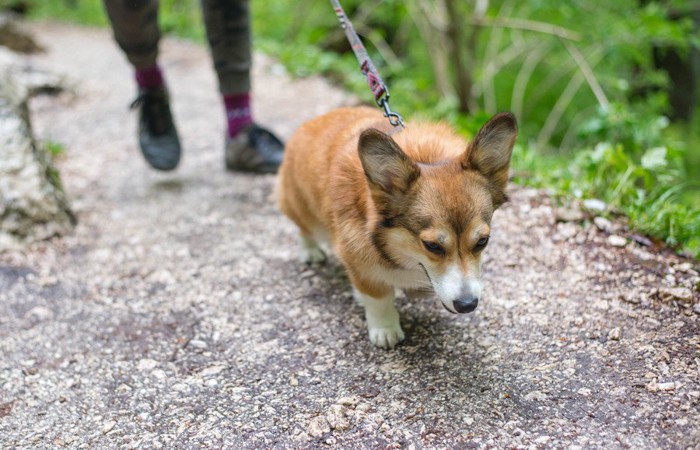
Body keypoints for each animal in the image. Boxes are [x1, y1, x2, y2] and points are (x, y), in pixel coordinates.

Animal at [276, 106, 516, 348]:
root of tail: (314, 121)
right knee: (304, 228)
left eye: (482, 241)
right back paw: (310, 251)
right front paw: (385, 329)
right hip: (305, 212)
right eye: (432, 246)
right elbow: (378, 297)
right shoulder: (358, 257)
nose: (467, 305)